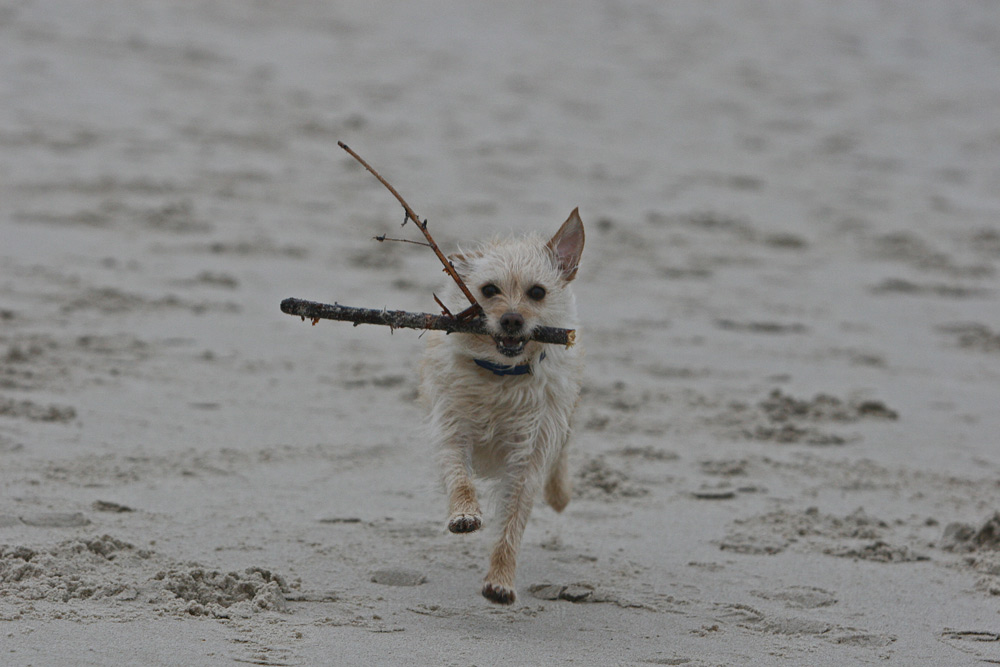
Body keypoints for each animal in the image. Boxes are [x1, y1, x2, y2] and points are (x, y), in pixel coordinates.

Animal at [416, 209, 584, 604]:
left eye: (537, 292)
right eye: (489, 290)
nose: (511, 319)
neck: (501, 377)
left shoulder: (528, 456)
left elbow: (512, 522)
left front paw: (501, 580)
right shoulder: (452, 429)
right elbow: (459, 478)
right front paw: (464, 513)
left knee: (563, 452)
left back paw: (560, 492)